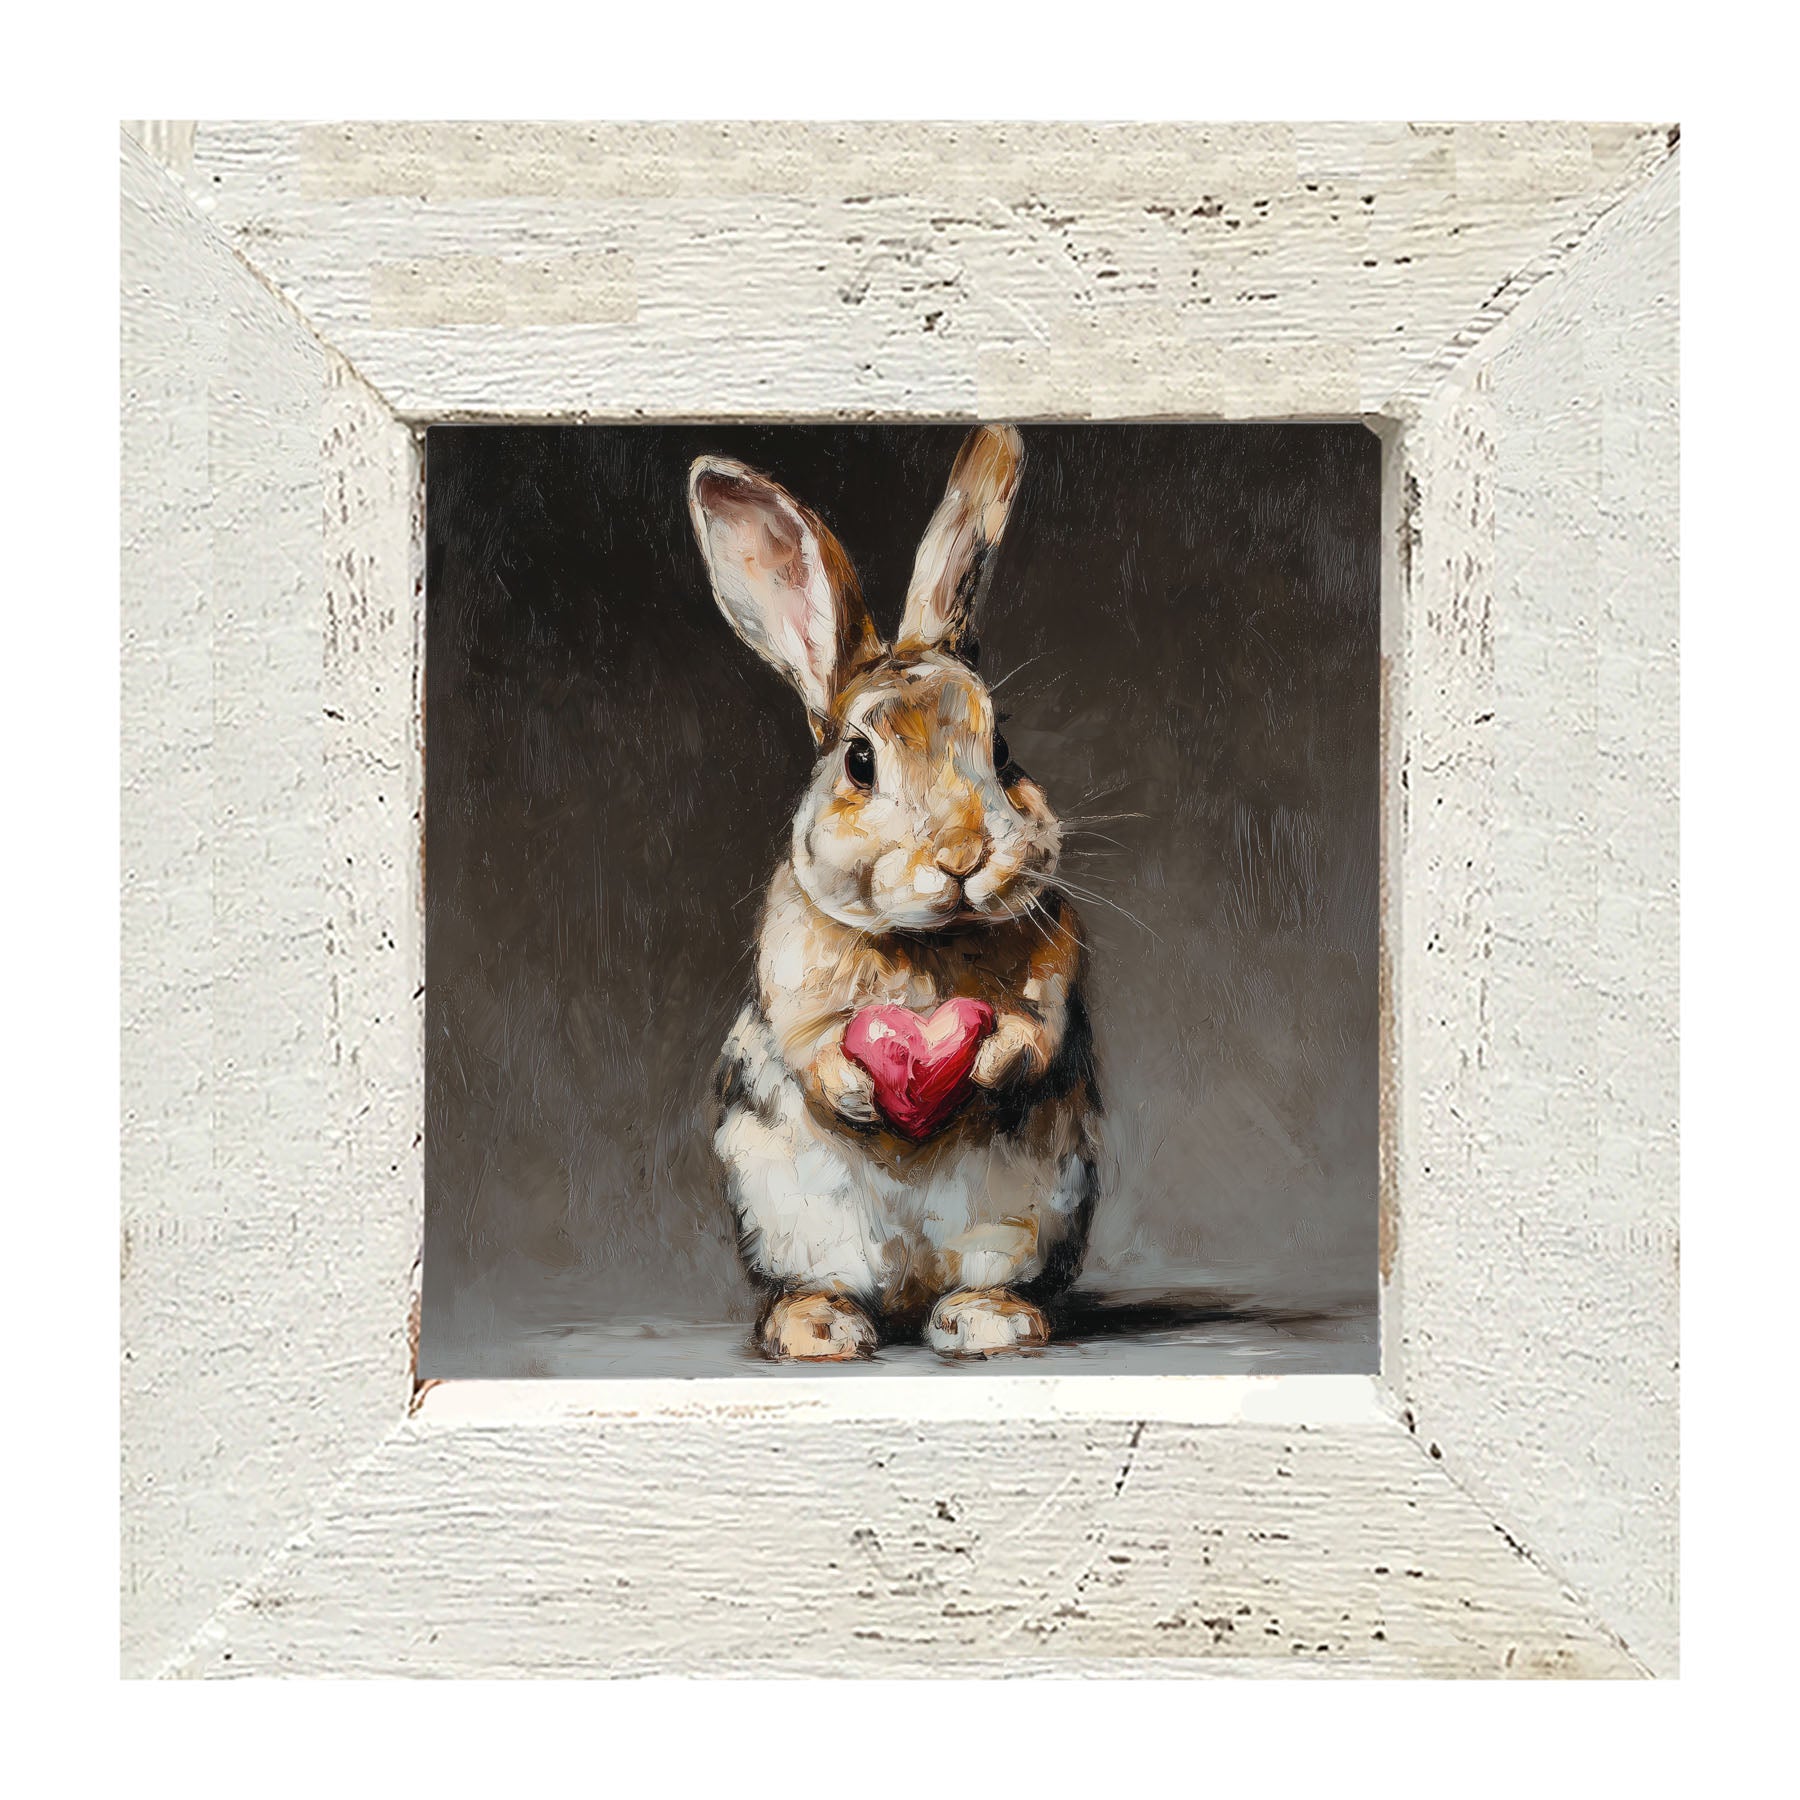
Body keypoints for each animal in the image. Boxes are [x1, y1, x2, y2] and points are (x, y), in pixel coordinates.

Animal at [689, 425, 1099, 1361]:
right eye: (859, 760)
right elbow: (813, 1043)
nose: (962, 855)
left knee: (985, 1285)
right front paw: (858, 1092)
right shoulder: (793, 984)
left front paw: (980, 1065)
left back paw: (988, 1324)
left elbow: (1030, 1033)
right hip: (791, 1219)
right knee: (829, 1286)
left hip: (1027, 1221)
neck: (926, 941)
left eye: (1004, 749)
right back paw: (820, 1330)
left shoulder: (1053, 980)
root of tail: (910, 1298)